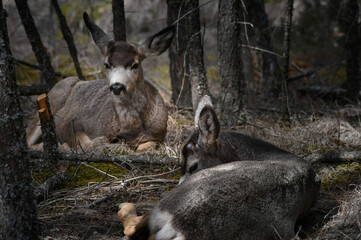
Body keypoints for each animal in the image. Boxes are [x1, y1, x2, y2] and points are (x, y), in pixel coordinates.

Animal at [26, 12, 174, 152]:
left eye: (135, 65)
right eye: (106, 64)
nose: (117, 87)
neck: (131, 128)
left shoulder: (158, 135)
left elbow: (146, 146)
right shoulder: (73, 122)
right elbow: (90, 144)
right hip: (49, 102)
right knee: (27, 140)